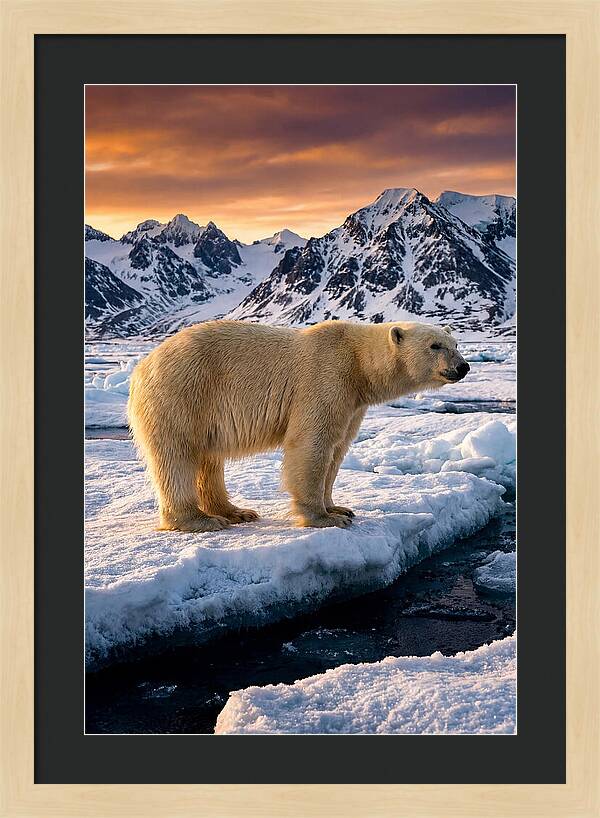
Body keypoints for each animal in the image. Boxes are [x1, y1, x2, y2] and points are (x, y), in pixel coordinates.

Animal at [128, 319, 469, 532]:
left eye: (455, 343)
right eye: (435, 345)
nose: (463, 366)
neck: (358, 363)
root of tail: (142, 366)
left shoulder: (352, 402)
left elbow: (337, 449)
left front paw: (339, 508)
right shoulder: (326, 377)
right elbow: (311, 444)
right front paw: (324, 518)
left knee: (209, 459)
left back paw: (235, 511)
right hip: (183, 391)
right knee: (177, 454)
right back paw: (200, 520)